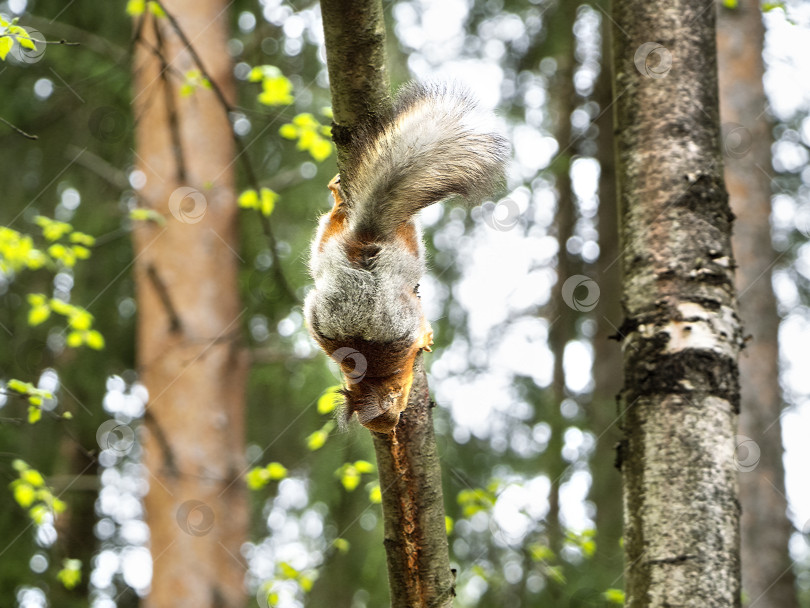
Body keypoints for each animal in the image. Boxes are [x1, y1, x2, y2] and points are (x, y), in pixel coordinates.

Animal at [304, 82, 504, 432]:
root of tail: (364, 243)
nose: (395, 424)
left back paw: (339, 197)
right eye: (392, 414)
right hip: (400, 267)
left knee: (335, 221)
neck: (375, 375)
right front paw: (426, 339)